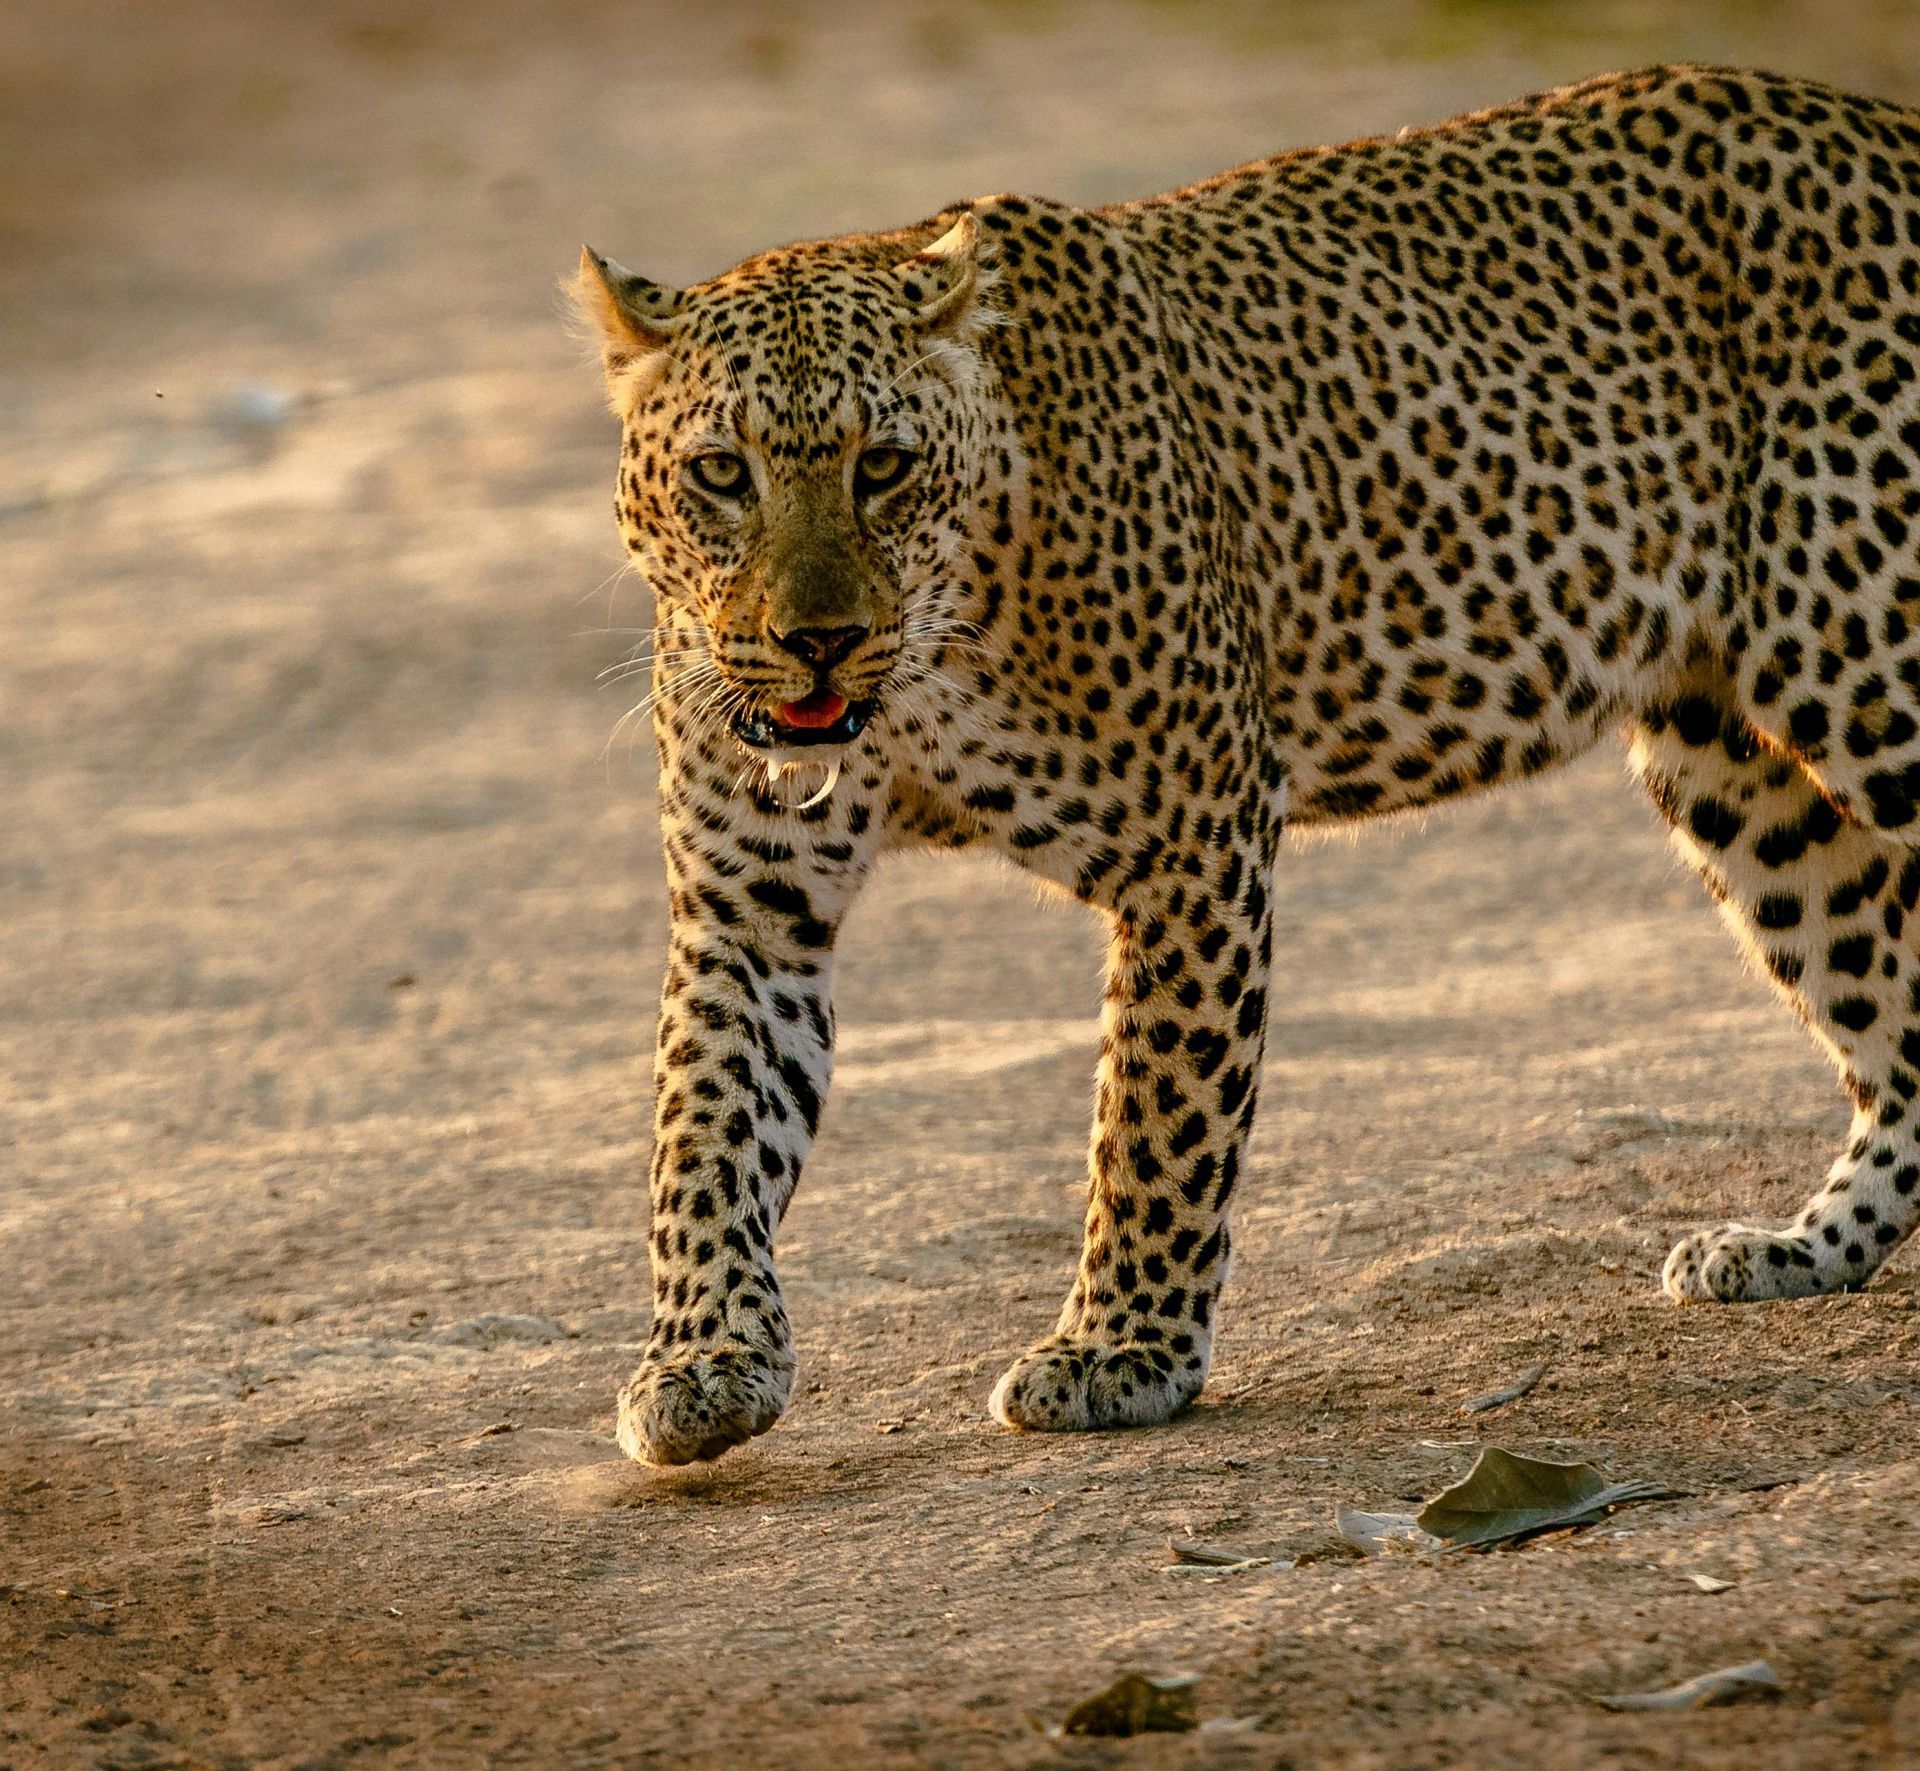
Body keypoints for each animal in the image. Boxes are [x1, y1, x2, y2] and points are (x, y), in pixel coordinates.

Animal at [572, 61, 1920, 1459]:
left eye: (880, 466)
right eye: (720, 474)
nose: (819, 641)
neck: (925, 674)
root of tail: (1880, 129)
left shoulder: (1194, 838)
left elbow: (1156, 1116)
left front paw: (1119, 1349)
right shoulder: (749, 904)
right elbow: (706, 1129)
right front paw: (703, 1359)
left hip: (1872, 666)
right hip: (1731, 763)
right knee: (1896, 1019)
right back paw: (1801, 1247)